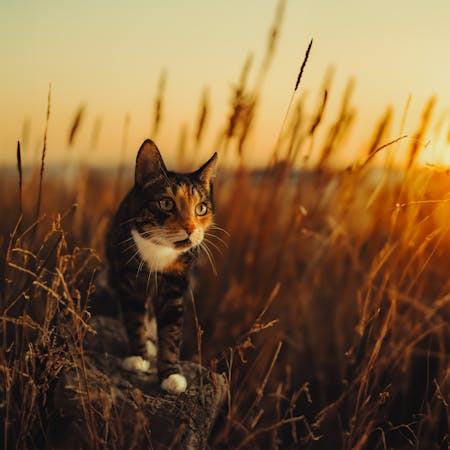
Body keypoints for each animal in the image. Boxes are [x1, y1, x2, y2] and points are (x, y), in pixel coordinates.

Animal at [106, 138, 218, 394]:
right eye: (166, 203)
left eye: (201, 208)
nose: (190, 228)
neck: (159, 251)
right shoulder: (130, 278)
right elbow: (134, 318)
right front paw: (138, 357)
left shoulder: (176, 283)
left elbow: (171, 329)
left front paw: (171, 375)